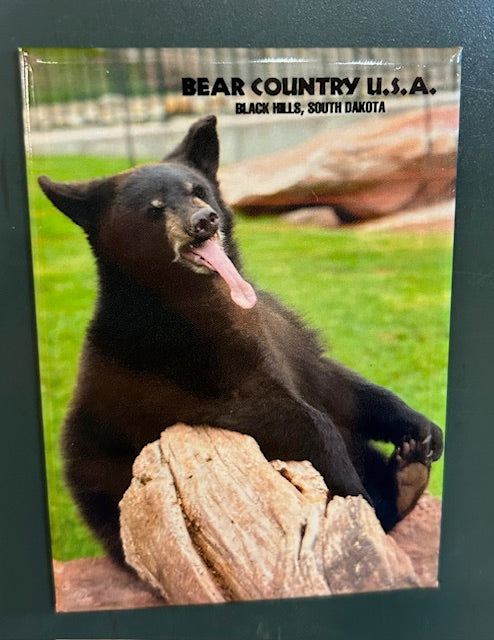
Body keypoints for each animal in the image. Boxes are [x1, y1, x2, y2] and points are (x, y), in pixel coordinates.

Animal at [38, 115, 443, 567]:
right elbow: (293, 417)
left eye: (197, 190)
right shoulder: (183, 360)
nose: (205, 220)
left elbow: (334, 381)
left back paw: (408, 473)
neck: (202, 292)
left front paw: (420, 427)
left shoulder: (283, 335)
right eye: (154, 208)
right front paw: (356, 497)